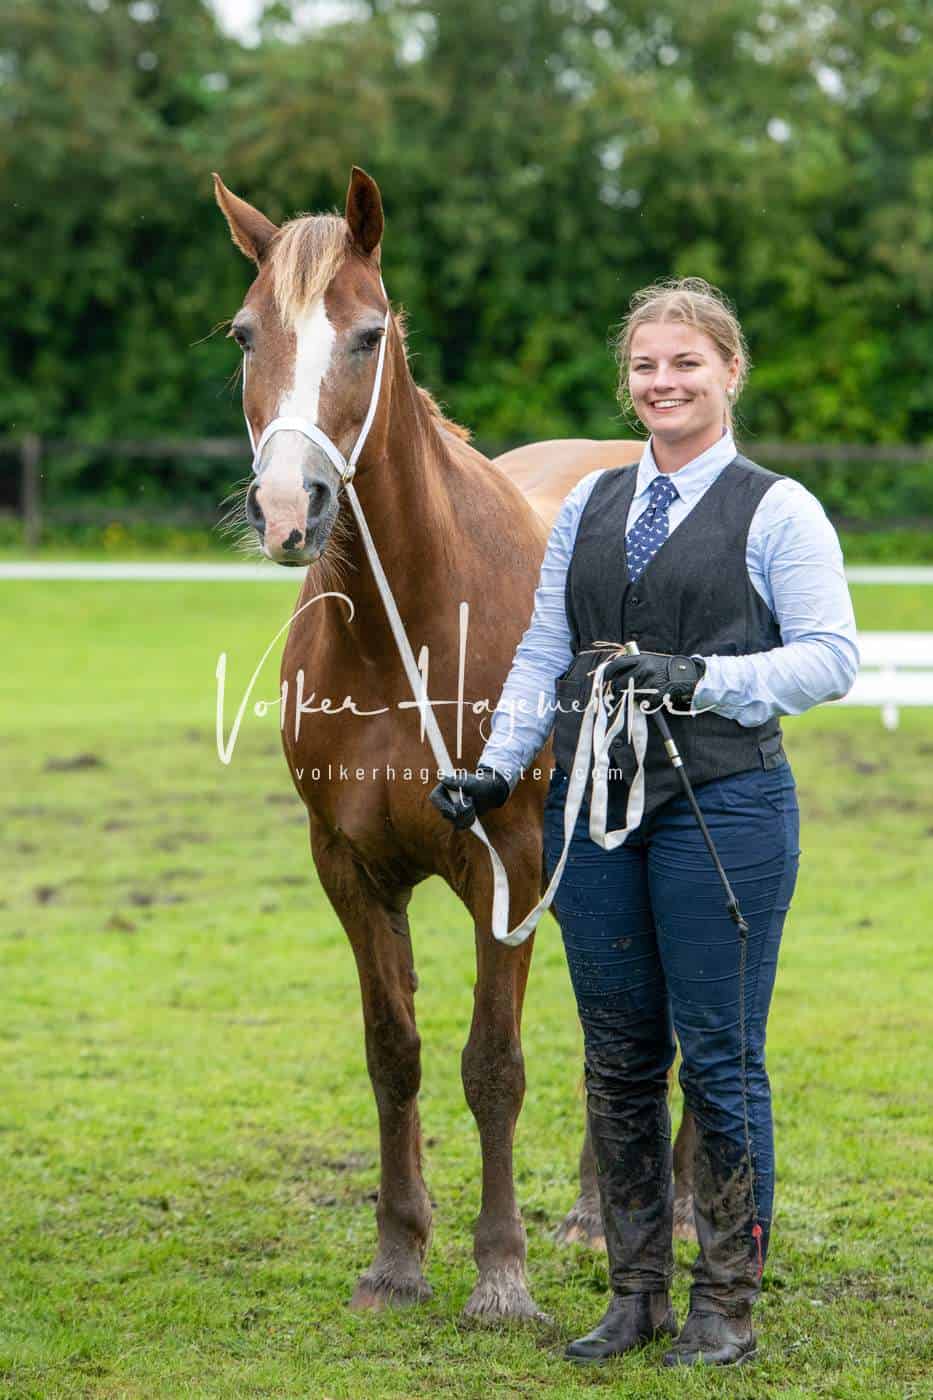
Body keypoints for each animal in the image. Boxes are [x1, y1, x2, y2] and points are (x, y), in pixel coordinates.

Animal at [213, 165, 694, 1319]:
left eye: (367, 335)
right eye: (246, 334)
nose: (288, 507)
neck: (408, 633)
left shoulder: (504, 867)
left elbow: (494, 1066)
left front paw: (500, 1273)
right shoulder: (348, 869)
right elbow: (396, 1053)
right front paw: (397, 1257)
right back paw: (596, 1214)